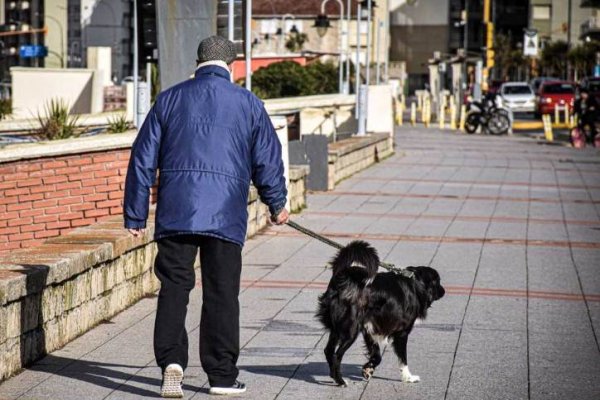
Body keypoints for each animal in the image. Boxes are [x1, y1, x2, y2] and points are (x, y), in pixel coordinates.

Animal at [316, 239, 442, 386]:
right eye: (438, 282)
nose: (444, 291)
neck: (416, 284)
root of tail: (343, 277)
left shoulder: (369, 328)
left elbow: (377, 356)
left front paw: (368, 369)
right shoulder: (401, 333)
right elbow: (403, 359)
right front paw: (408, 377)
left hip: (337, 327)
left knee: (328, 350)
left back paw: (333, 376)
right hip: (350, 330)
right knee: (337, 355)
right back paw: (340, 381)